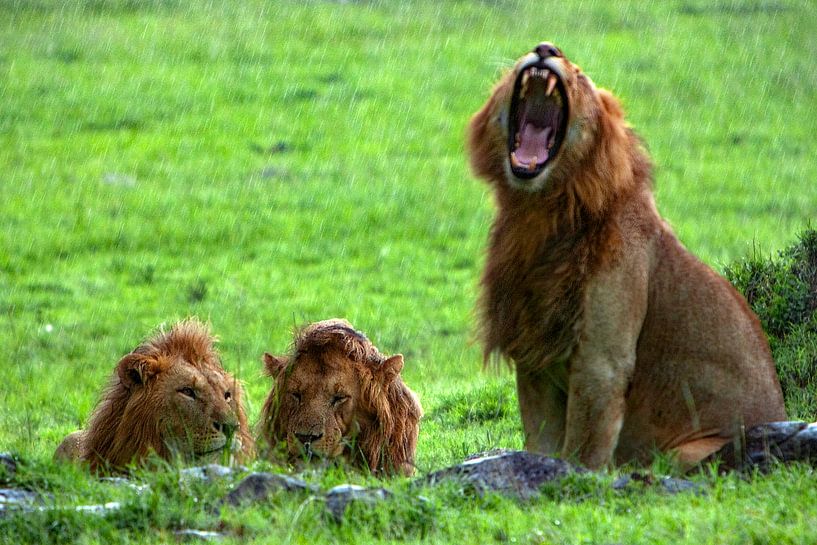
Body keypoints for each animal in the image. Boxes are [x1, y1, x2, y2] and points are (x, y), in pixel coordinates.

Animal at [467, 42, 786, 469]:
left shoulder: (602, 362)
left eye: (580, 74)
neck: (542, 212)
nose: (546, 48)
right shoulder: (534, 360)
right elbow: (542, 440)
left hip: (688, 452)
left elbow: (582, 451)